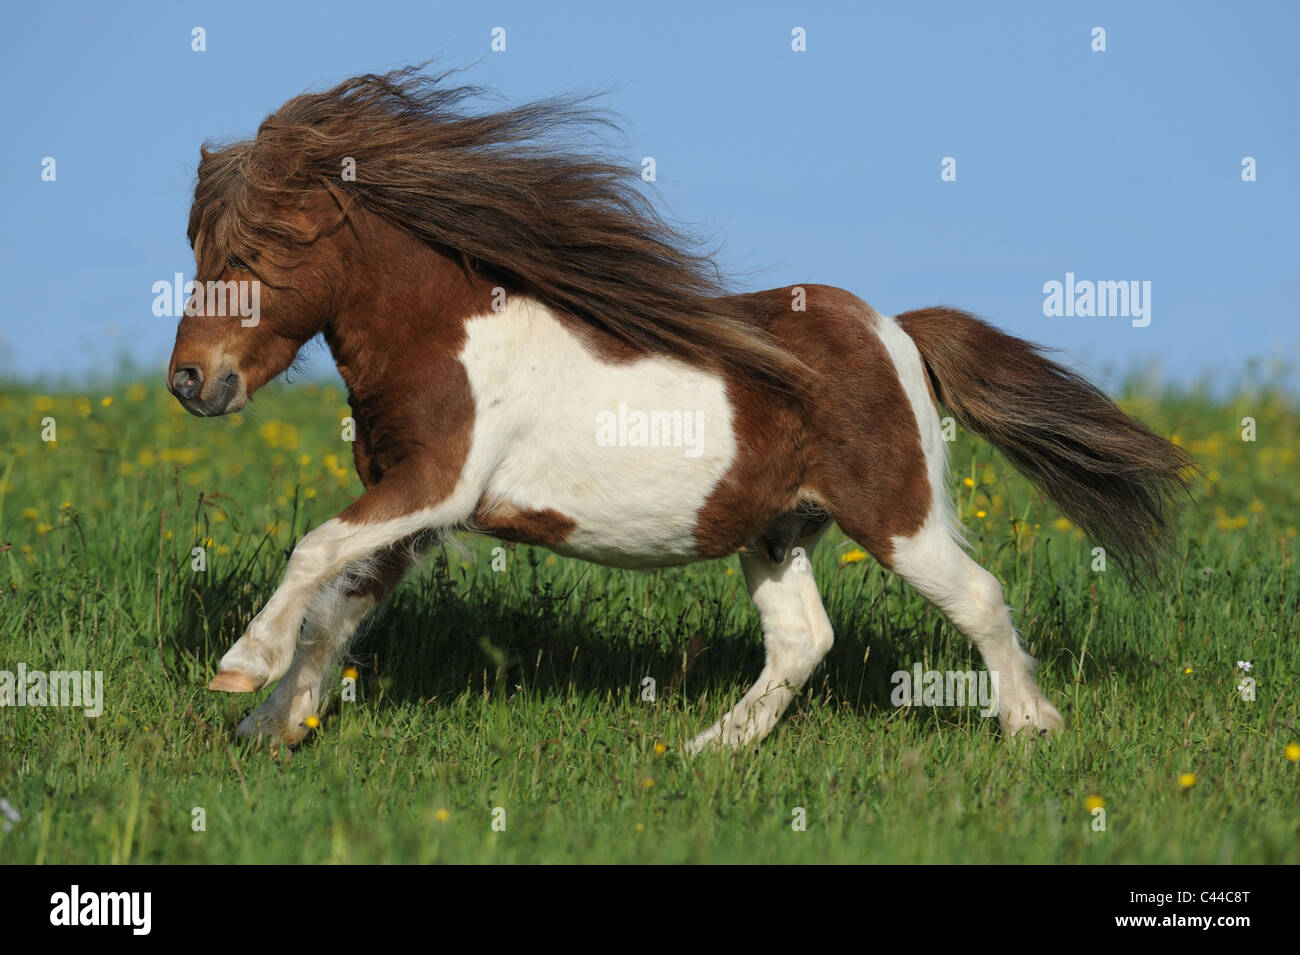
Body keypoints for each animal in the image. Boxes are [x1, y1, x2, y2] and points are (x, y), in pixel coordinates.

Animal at [168, 67, 1192, 752]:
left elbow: (314, 555)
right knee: (803, 640)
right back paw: (708, 753)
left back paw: (1030, 728)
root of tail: (893, 330)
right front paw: (271, 725)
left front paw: (239, 669)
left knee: (977, 597)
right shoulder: (413, 510)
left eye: (257, 251)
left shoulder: (436, 485)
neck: (445, 338)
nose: (191, 381)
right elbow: (336, 607)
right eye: (197, 245)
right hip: (775, 528)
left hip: (894, 512)